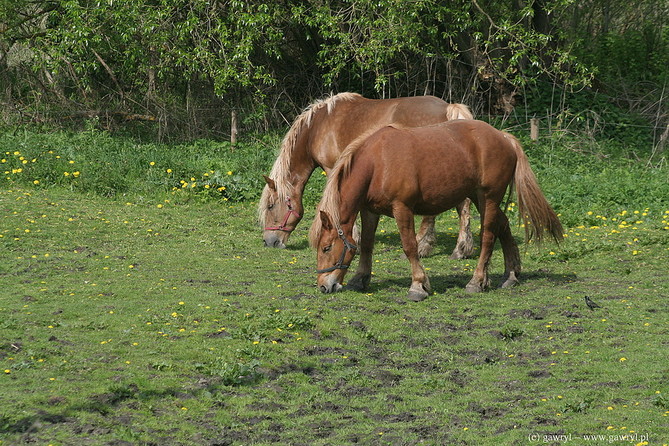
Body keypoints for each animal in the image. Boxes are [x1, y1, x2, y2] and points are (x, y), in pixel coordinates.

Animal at [258, 92, 472, 258]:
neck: (317, 127)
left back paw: (424, 246)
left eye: (270, 206)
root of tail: (448, 108)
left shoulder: (332, 168)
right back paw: (458, 249)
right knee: (463, 205)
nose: (269, 242)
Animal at [310, 118, 560, 302]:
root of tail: (503, 137)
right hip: (479, 197)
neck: (377, 164)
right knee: (504, 226)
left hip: (488, 197)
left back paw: (477, 281)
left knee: (489, 236)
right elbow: (367, 245)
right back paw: (510, 275)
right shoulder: (370, 210)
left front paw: (418, 285)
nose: (323, 286)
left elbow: (410, 246)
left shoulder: (402, 208)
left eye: (326, 248)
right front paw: (360, 278)